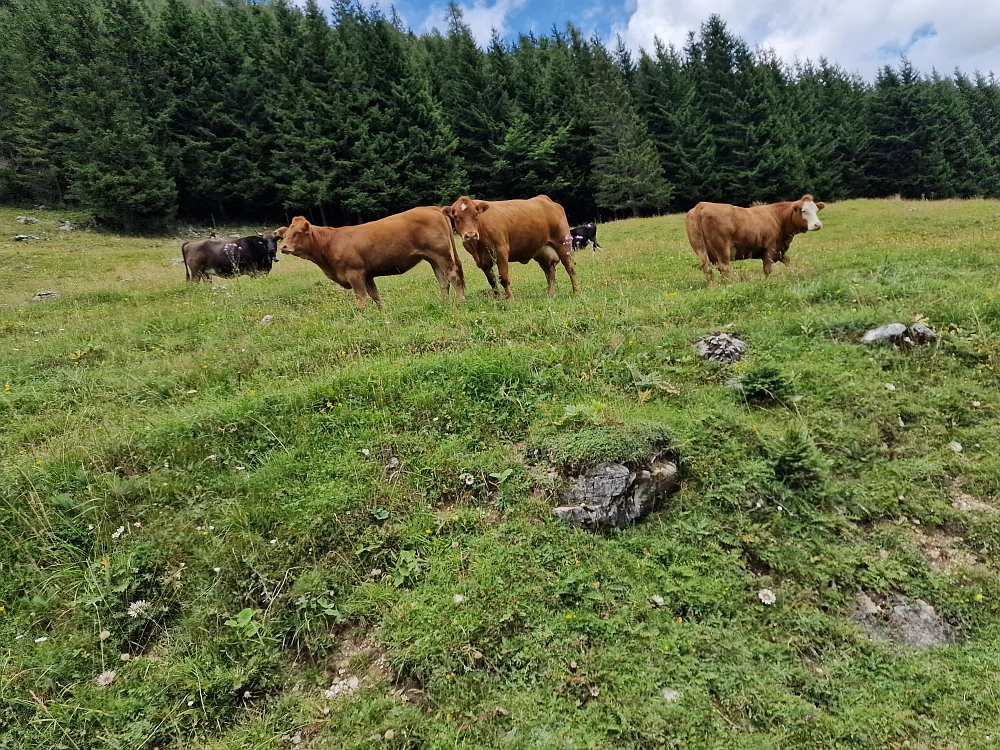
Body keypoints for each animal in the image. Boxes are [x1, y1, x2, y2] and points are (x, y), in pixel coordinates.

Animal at [278, 207, 464, 310]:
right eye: (285, 235)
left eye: (298, 233)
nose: (283, 247)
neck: (330, 243)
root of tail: (430, 208)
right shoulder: (367, 275)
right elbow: (375, 296)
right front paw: (382, 312)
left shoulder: (354, 274)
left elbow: (361, 299)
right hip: (432, 258)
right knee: (443, 281)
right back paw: (444, 303)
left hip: (441, 254)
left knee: (453, 276)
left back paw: (460, 301)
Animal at [444, 195, 580, 302]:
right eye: (456, 216)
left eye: (476, 214)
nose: (471, 235)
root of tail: (545, 199)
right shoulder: (482, 261)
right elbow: (492, 281)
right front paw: (498, 298)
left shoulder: (501, 251)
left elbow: (503, 278)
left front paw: (510, 299)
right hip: (542, 251)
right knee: (549, 272)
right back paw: (550, 294)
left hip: (563, 244)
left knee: (570, 268)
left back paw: (576, 292)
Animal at [684, 194, 824, 284]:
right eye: (804, 211)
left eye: (816, 210)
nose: (818, 224)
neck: (776, 217)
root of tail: (702, 205)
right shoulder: (770, 248)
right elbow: (767, 269)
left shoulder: (779, 250)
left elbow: (788, 262)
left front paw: (795, 274)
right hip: (722, 249)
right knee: (724, 268)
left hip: (699, 248)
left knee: (707, 268)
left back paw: (712, 286)